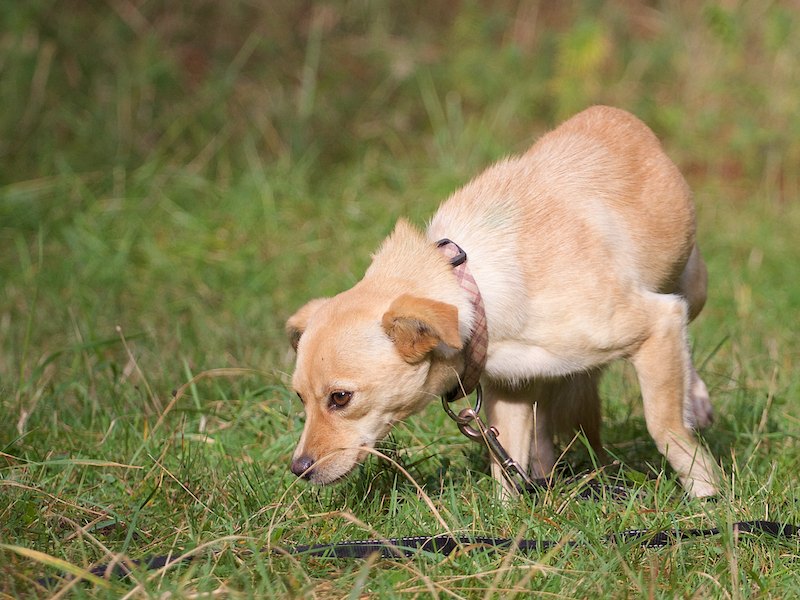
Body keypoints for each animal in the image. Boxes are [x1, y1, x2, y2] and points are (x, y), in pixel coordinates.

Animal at [286, 106, 717, 497]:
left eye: (340, 398)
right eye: (300, 398)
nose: (298, 468)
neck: (472, 289)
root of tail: (616, 114)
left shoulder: (658, 322)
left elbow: (665, 428)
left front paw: (706, 493)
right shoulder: (510, 389)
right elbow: (504, 467)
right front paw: (511, 515)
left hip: (691, 290)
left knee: (685, 344)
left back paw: (696, 401)